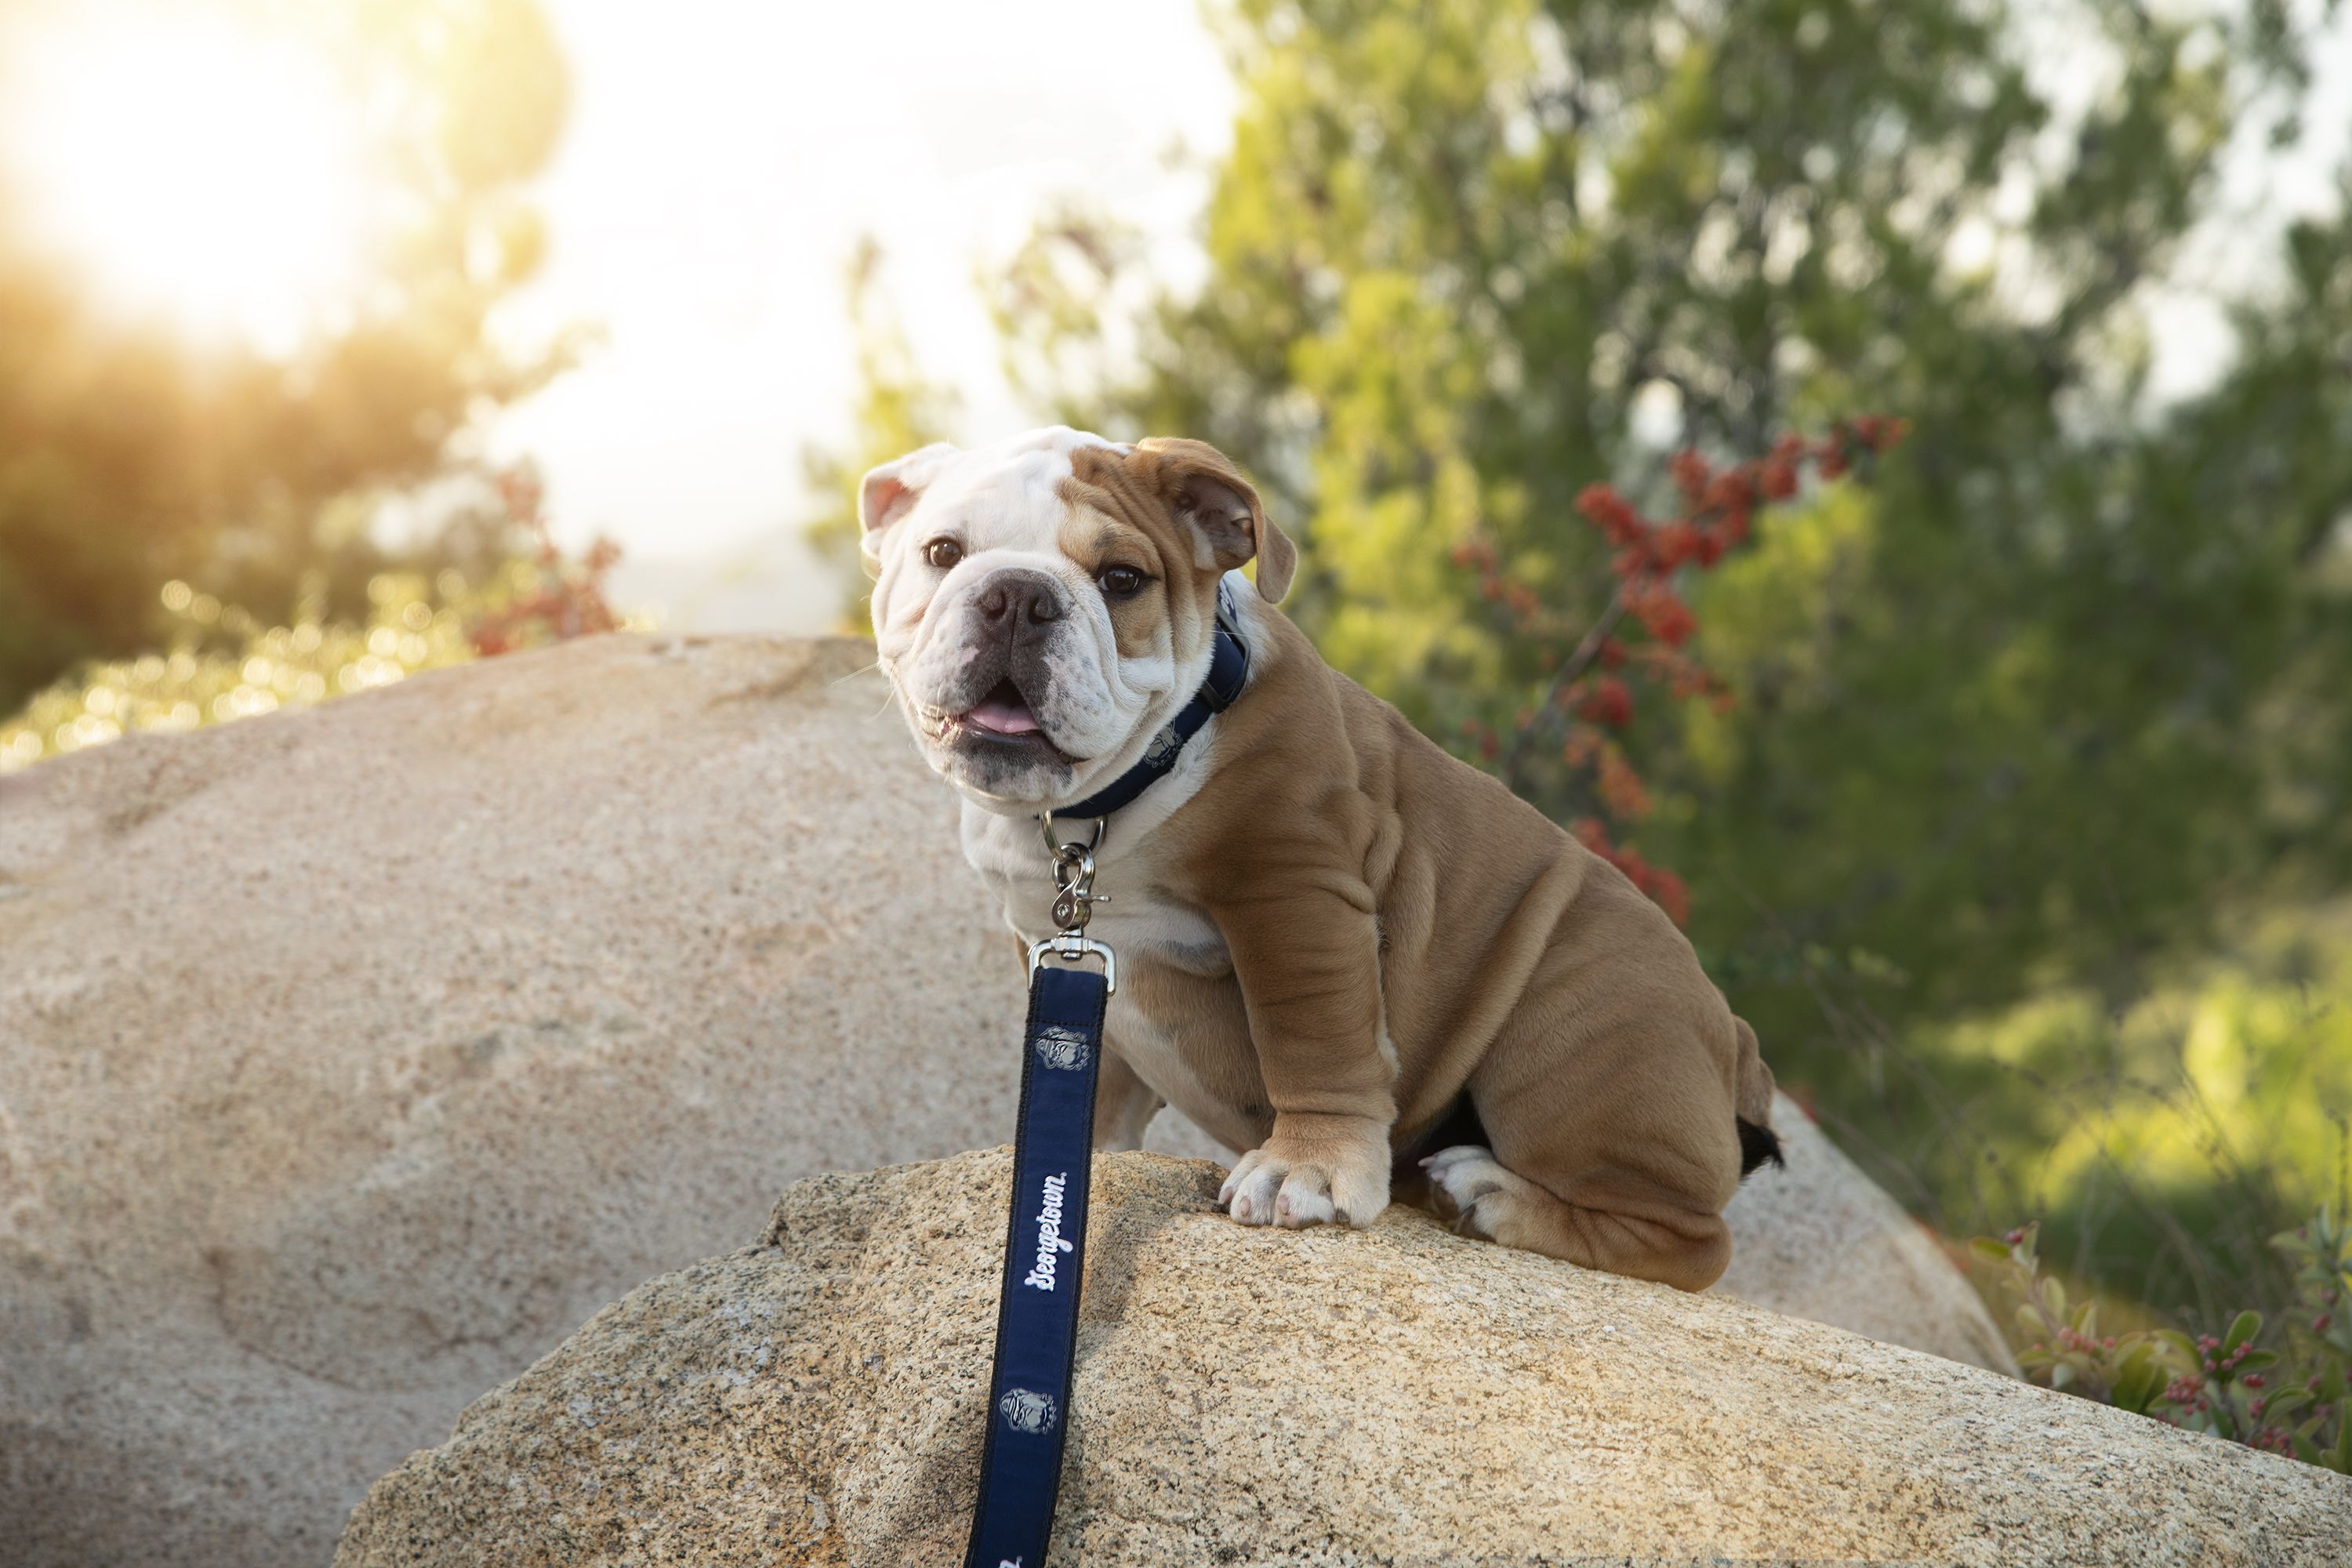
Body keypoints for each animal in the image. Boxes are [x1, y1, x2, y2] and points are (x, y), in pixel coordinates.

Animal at [870, 425, 1778, 1288]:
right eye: (943, 552)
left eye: (1123, 578)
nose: (1018, 594)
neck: (1102, 807)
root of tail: (1737, 1044)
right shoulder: (1063, 953)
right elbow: (1087, 1082)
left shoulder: (1293, 894)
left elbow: (1312, 1042)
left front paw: (1306, 1167)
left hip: (1575, 1041)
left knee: (1696, 1240)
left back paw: (1491, 1195)